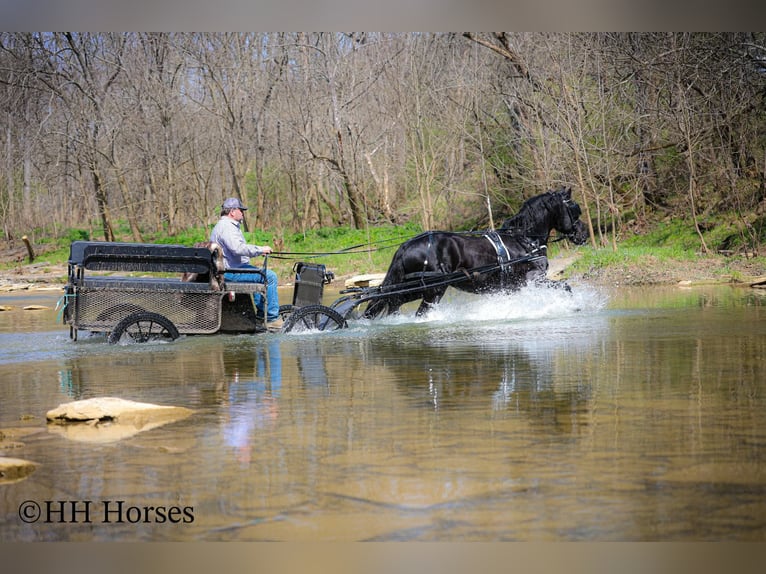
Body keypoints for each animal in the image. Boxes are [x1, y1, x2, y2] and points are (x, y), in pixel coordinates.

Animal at [363, 186, 589, 319]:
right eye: (574, 209)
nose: (584, 233)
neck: (524, 240)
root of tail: (405, 246)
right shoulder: (533, 279)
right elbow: (566, 286)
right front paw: (574, 306)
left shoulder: (514, 287)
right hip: (433, 291)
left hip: (414, 289)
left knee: (391, 303)